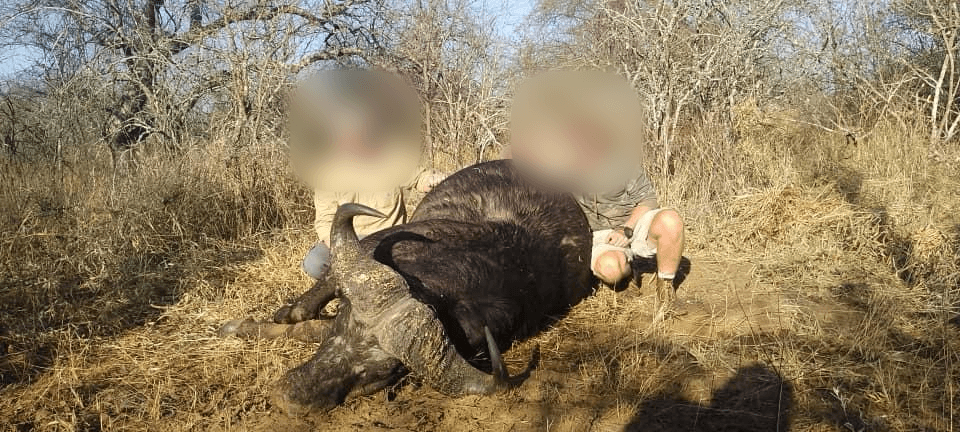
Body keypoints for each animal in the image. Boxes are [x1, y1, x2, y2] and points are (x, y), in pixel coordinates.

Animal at [221, 159, 594, 415]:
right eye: (341, 330)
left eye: (380, 371)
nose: (288, 397)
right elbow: (309, 313)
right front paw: (241, 325)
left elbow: (308, 330)